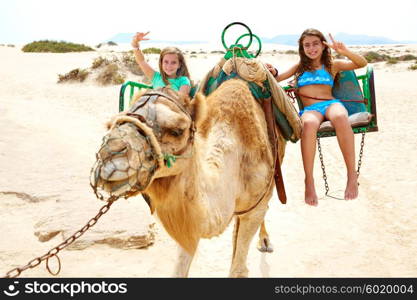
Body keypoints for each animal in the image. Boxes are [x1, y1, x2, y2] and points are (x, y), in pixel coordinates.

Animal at [91, 79, 286, 276]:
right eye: (111, 124)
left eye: (177, 130)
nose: (109, 154)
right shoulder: (190, 220)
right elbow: (180, 268)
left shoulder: (255, 207)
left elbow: (238, 269)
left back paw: (264, 240)